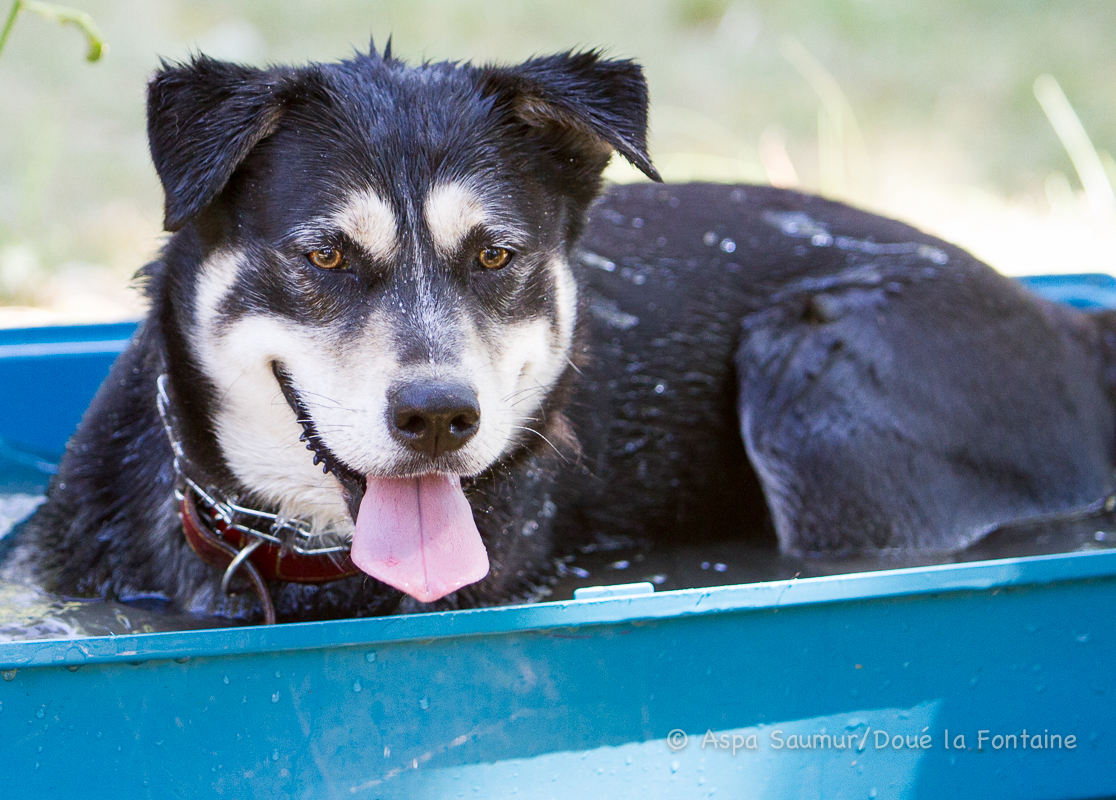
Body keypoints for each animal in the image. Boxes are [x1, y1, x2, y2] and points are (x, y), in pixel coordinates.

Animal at [2, 43, 1116, 620]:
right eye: (324, 257)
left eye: (496, 256)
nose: (440, 416)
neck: (293, 551)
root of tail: (1075, 325)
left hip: (826, 377)